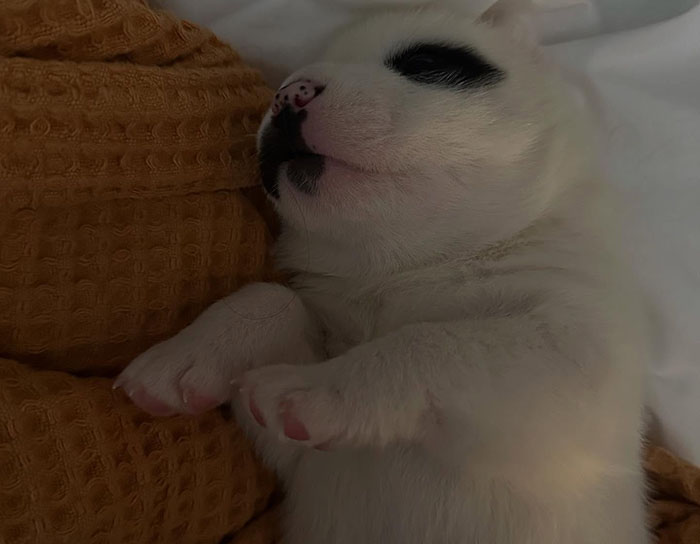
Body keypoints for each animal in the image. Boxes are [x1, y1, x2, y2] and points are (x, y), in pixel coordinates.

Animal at [116, 5, 652, 544]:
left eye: (423, 62)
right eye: (284, 82)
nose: (288, 93)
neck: (404, 268)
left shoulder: (575, 365)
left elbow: (434, 342)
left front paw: (320, 389)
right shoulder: (297, 452)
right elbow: (274, 299)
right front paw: (186, 355)